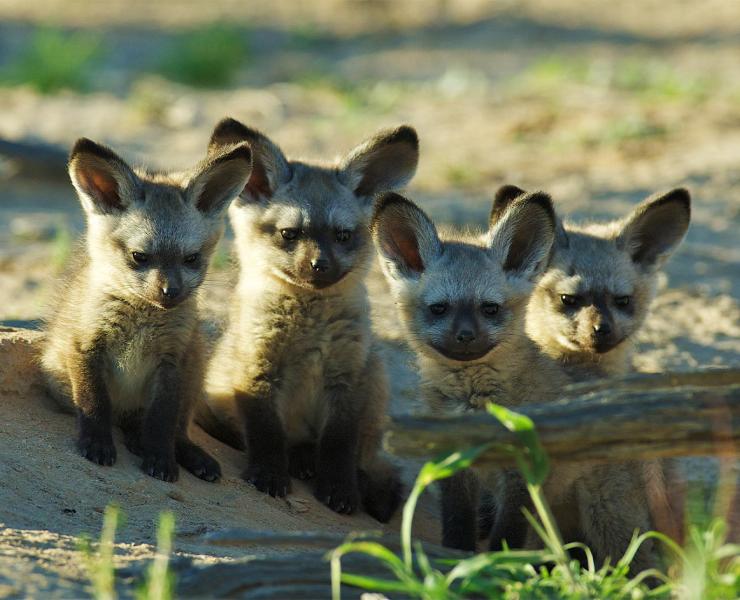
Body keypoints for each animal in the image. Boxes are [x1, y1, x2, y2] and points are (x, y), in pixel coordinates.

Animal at [41, 136, 253, 482]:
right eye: (139, 256)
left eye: (191, 258)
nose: (170, 293)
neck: (141, 322)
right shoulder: (86, 345)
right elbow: (94, 403)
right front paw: (96, 443)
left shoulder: (172, 361)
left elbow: (161, 422)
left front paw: (160, 458)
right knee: (125, 422)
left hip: (194, 370)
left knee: (175, 429)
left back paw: (185, 453)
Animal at [196, 118, 419, 522]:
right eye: (290, 234)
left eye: (342, 235)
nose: (320, 266)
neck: (309, 332)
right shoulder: (258, 368)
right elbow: (267, 434)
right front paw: (269, 474)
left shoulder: (348, 377)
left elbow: (338, 446)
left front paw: (339, 490)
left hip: (375, 378)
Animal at [372, 191, 658, 570]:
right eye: (439, 308)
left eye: (490, 308)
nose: (465, 337)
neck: (476, 402)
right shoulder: (455, 467)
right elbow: (458, 525)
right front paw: (458, 562)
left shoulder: (521, 475)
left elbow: (506, 538)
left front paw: (498, 570)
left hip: (609, 517)